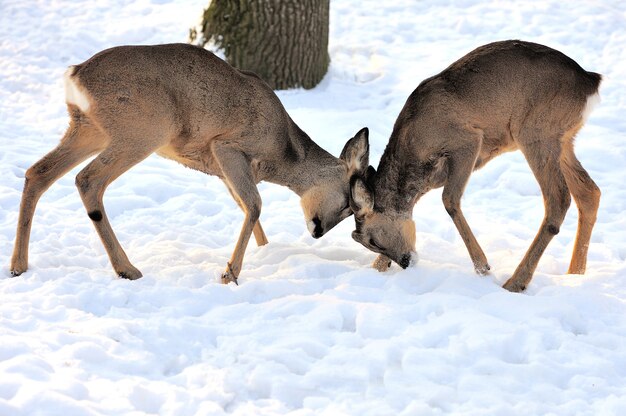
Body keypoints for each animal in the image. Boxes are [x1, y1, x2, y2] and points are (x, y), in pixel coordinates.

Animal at [9, 44, 368, 286]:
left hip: (89, 129)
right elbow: (254, 204)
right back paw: (127, 269)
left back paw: (18, 265)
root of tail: (75, 75)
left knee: (38, 172)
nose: (318, 231)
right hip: (142, 130)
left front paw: (264, 250)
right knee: (87, 179)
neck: (281, 153)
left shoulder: (221, 167)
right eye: (348, 204)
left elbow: (244, 206)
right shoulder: (227, 145)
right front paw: (230, 273)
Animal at [352, 40, 600, 290]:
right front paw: (377, 267)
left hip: (536, 132)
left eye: (373, 240)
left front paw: (483, 266)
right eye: (367, 243)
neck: (415, 149)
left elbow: (449, 200)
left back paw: (516, 282)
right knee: (589, 191)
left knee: (559, 198)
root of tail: (590, 82)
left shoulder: (468, 141)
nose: (405, 261)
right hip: (564, 140)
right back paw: (574, 274)